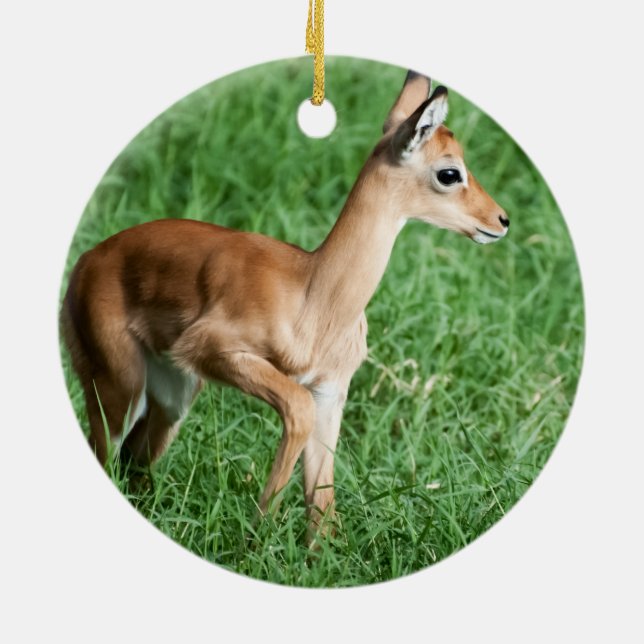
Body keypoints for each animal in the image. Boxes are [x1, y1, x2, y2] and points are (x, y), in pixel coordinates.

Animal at [61, 71, 508, 541]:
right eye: (449, 172)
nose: (501, 220)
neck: (314, 295)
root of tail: (86, 261)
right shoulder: (220, 351)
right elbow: (297, 408)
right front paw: (255, 539)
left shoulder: (330, 390)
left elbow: (323, 500)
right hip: (119, 385)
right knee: (107, 453)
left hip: (172, 395)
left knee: (134, 462)